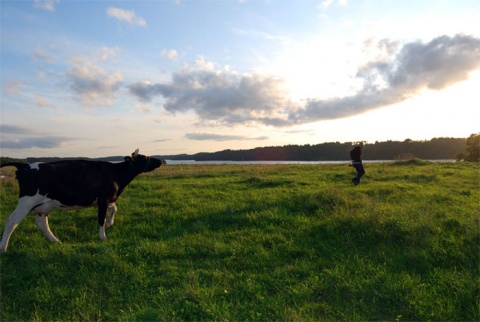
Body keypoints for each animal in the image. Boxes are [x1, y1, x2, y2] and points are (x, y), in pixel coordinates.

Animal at [0, 150, 163, 253]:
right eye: (143, 157)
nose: (160, 160)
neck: (116, 173)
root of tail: (24, 165)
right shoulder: (103, 199)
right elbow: (101, 218)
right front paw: (103, 237)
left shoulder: (105, 199)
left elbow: (114, 209)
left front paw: (109, 223)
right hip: (27, 201)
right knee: (11, 221)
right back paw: (3, 248)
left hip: (44, 205)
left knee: (42, 223)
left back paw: (55, 241)